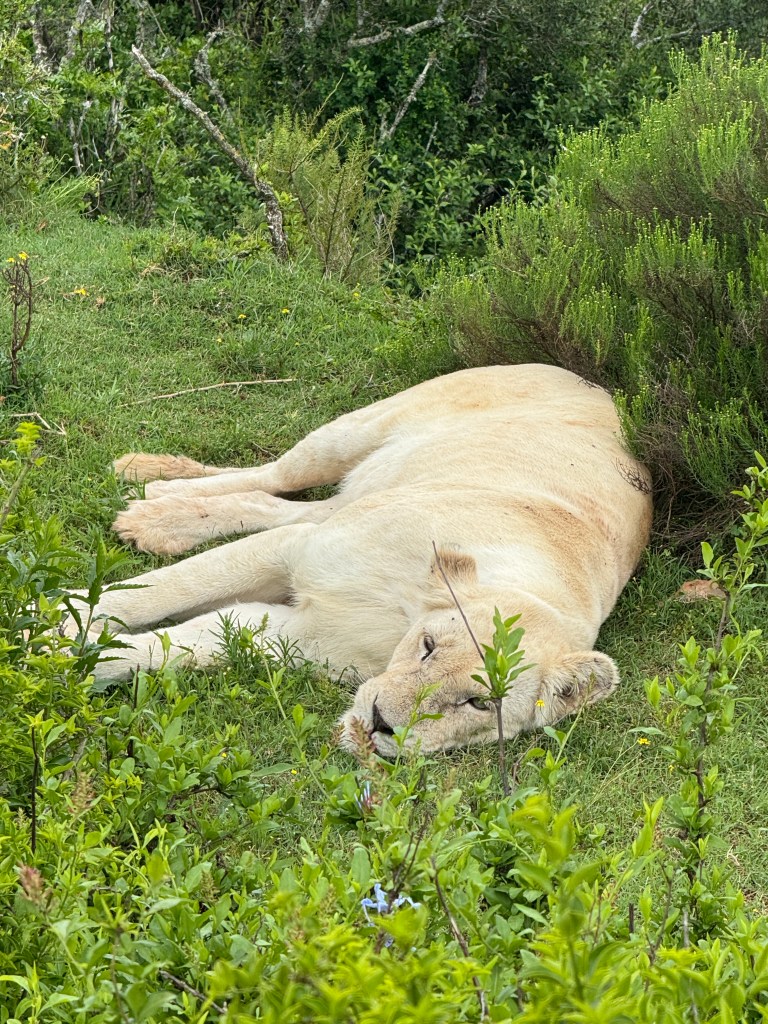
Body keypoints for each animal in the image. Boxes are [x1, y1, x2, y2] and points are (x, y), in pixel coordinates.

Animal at [80, 364, 652, 755]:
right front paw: (66, 623)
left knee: (274, 502)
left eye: (478, 703)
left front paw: (82, 655)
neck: (397, 624)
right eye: (428, 648)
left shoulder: (298, 635)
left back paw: (155, 512)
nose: (379, 721)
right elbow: (165, 589)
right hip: (357, 432)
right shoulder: (299, 550)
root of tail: (595, 384)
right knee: (274, 476)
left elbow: (176, 647)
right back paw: (147, 489)